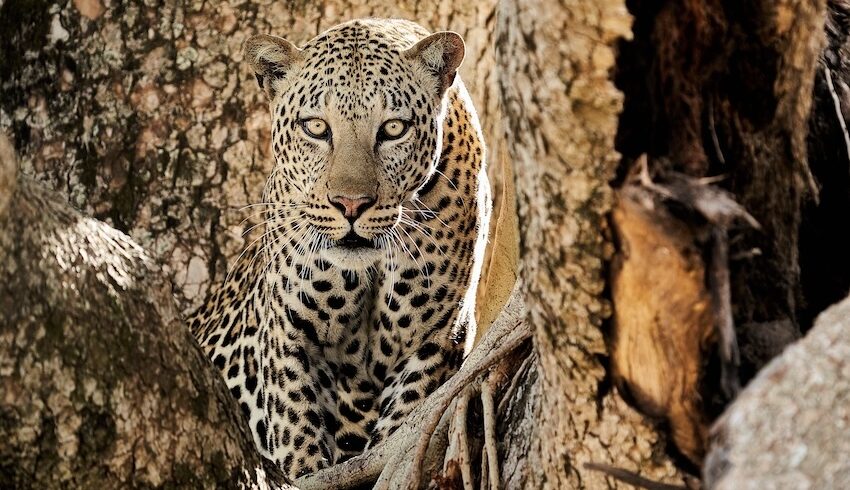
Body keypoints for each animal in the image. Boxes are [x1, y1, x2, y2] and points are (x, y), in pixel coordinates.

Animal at [188, 18, 486, 478]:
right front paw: (305, 467)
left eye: (393, 129)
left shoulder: (438, 338)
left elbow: (402, 419)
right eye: (316, 127)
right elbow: (296, 426)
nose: (350, 204)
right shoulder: (288, 329)